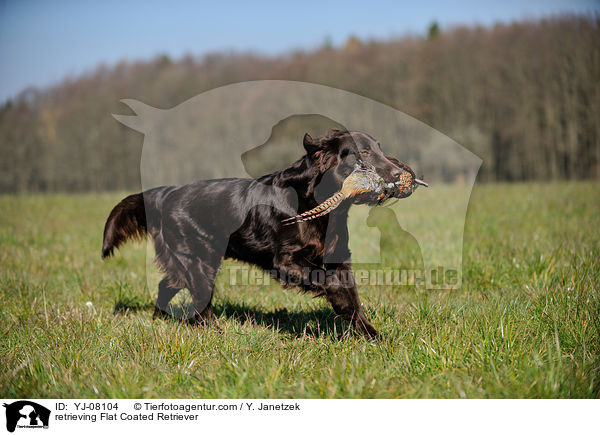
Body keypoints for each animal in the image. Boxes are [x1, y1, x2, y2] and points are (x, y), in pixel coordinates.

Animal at [102, 129, 422, 340]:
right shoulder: (286, 261)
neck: (316, 202)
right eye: (364, 153)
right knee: (199, 302)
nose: (399, 174)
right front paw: (341, 306)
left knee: (166, 285)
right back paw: (215, 333)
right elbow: (328, 281)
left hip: (189, 263)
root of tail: (164, 193)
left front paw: (372, 337)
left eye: (379, 149)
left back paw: (160, 320)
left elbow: (353, 297)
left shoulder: (338, 257)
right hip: (199, 262)